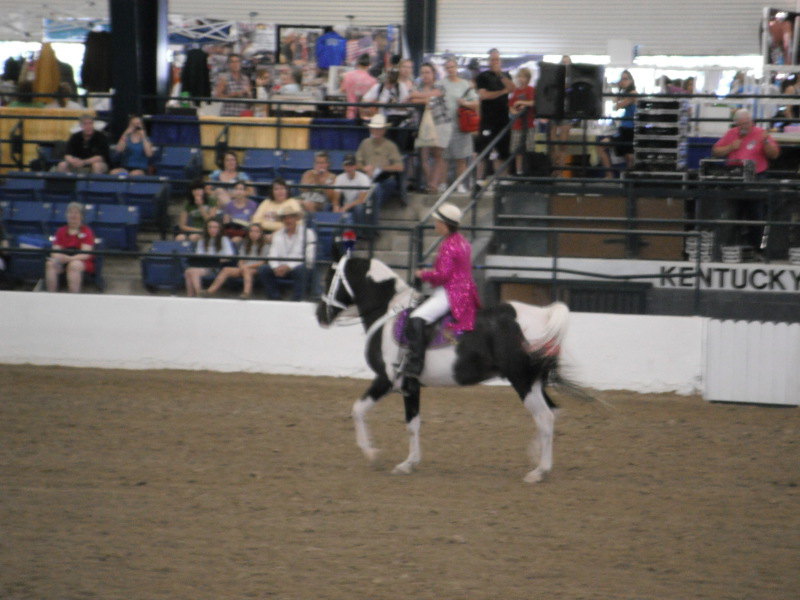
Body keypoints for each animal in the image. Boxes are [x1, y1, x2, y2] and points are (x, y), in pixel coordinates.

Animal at [316, 253, 572, 482]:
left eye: (329, 278)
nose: (319, 315)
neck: (387, 315)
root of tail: (543, 315)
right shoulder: (411, 386)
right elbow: (412, 424)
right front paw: (408, 463)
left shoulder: (388, 380)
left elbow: (359, 410)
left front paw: (374, 455)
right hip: (534, 381)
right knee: (552, 413)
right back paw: (536, 456)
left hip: (522, 380)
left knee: (545, 418)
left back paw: (539, 471)